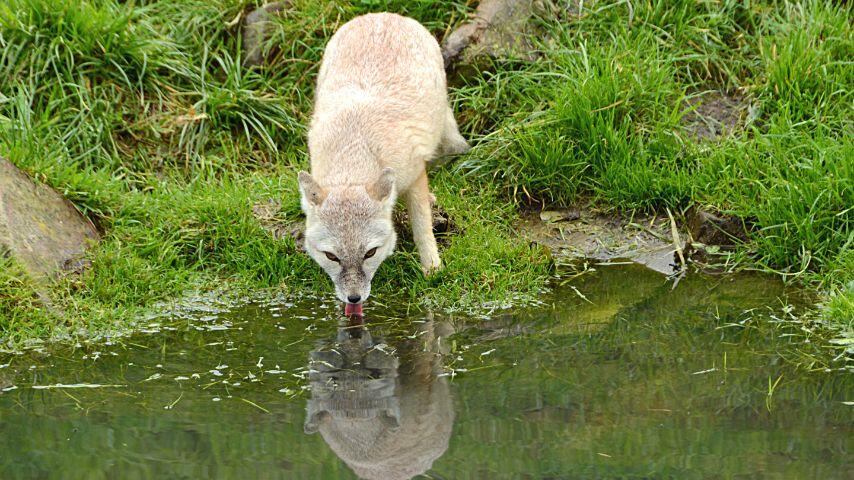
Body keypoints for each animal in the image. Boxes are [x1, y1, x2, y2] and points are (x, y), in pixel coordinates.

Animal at [300, 13, 474, 316]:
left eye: (370, 253)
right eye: (331, 256)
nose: (354, 299)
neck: (355, 147)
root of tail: (383, 15)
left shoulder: (414, 176)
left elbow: (422, 228)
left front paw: (433, 268)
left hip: (441, 128)